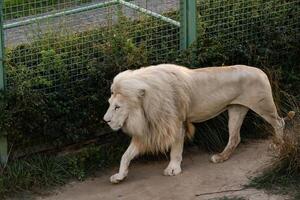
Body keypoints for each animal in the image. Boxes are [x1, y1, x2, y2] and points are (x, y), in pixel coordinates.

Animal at [103, 63, 296, 183]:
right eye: (109, 104)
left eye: (118, 107)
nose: (106, 120)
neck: (145, 108)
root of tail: (261, 71)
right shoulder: (148, 129)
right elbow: (126, 155)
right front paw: (120, 176)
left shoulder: (177, 123)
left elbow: (176, 150)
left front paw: (173, 169)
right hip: (236, 109)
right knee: (235, 138)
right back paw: (221, 157)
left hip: (263, 105)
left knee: (279, 123)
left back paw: (278, 144)